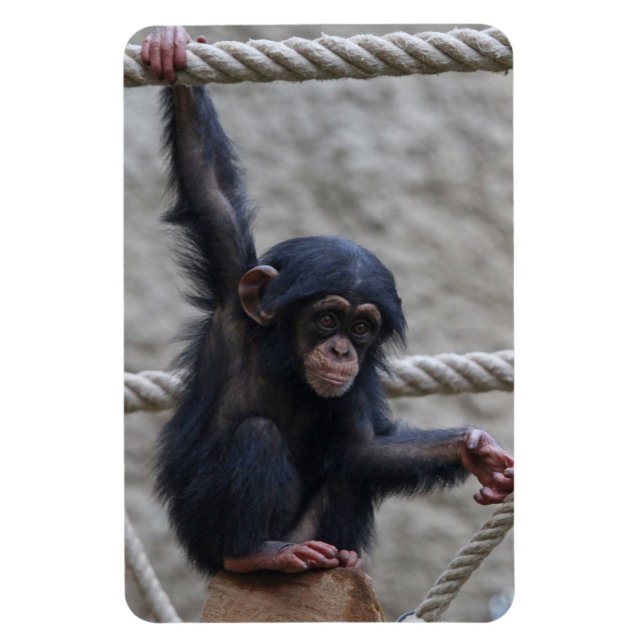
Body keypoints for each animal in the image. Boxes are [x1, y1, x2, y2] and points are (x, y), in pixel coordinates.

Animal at [140, 26, 514, 575]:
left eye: (360, 329)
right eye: (327, 318)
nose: (341, 351)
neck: (288, 363)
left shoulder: (357, 383)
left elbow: (362, 449)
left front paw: (477, 452)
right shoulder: (232, 297)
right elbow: (208, 185)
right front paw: (172, 52)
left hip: (316, 534)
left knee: (348, 472)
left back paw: (343, 558)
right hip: (205, 536)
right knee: (257, 436)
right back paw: (255, 554)